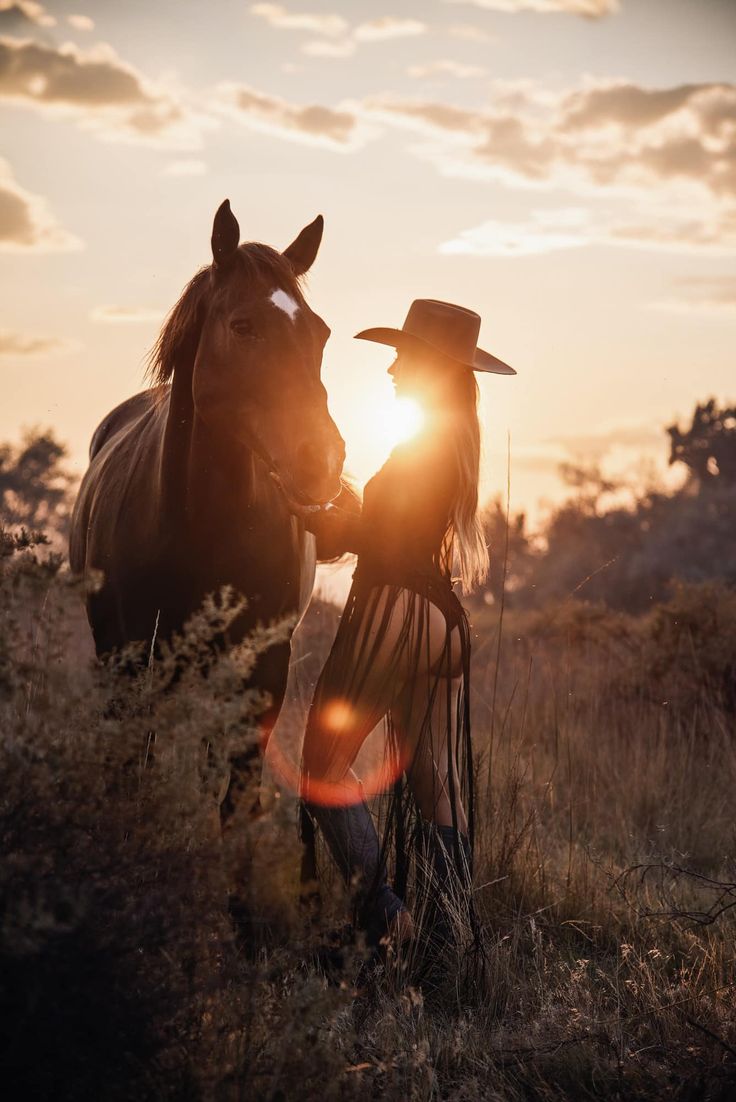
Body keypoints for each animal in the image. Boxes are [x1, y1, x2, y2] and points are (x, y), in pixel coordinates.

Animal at [68, 196, 345, 819]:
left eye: (320, 333)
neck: (203, 527)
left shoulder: (265, 672)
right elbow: (130, 771)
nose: (321, 459)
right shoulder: (130, 657)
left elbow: (237, 798)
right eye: (243, 326)